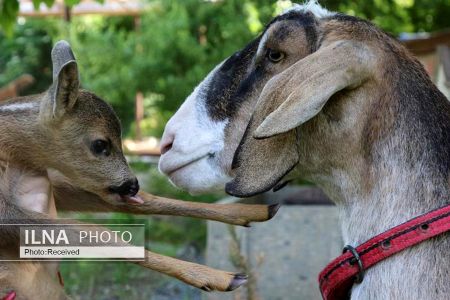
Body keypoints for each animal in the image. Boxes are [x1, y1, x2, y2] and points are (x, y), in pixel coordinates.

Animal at [0, 41, 278, 298]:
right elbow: (93, 229)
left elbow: (144, 202)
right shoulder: (7, 212)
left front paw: (253, 211)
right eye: (100, 144)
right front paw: (220, 277)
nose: (132, 184)